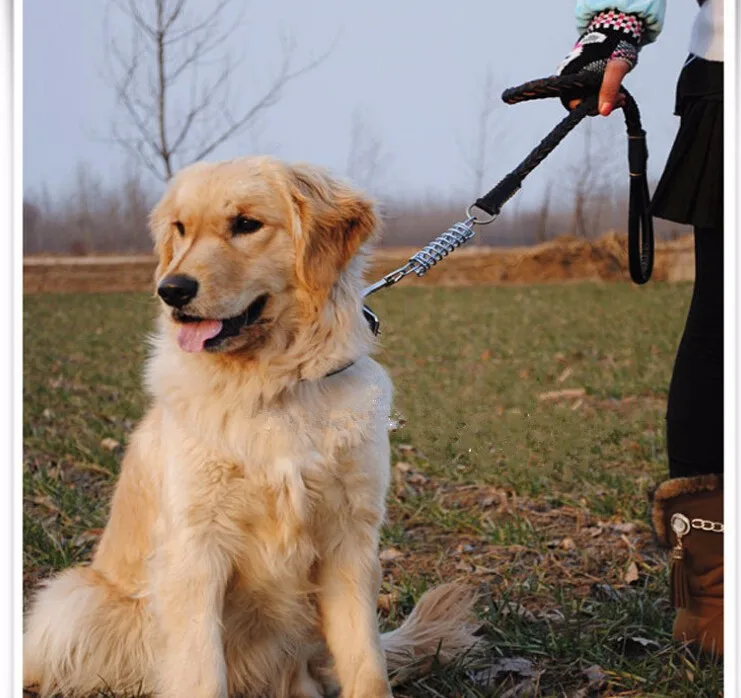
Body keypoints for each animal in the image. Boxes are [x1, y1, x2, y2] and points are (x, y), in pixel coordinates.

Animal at [23, 158, 476, 696]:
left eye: (246, 224)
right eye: (180, 228)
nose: (171, 290)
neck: (274, 386)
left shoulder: (350, 541)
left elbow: (366, 662)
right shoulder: (196, 550)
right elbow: (201, 672)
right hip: (75, 600)